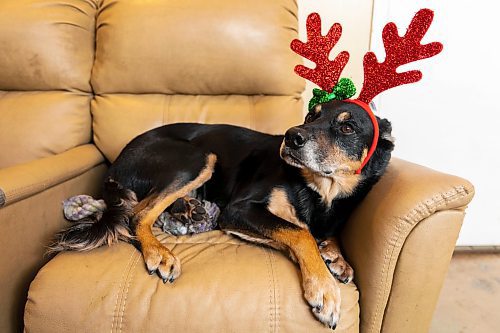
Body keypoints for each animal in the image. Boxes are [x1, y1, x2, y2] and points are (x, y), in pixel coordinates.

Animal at [50, 100, 394, 328]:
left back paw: (188, 208)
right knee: (137, 214)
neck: (320, 190)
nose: (291, 136)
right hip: (199, 156)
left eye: (347, 127)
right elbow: (300, 232)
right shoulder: (238, 210)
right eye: (312, 115)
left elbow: (313, 232)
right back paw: (159, 252)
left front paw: (337, 258)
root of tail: (115, 164)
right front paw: (323, 288)